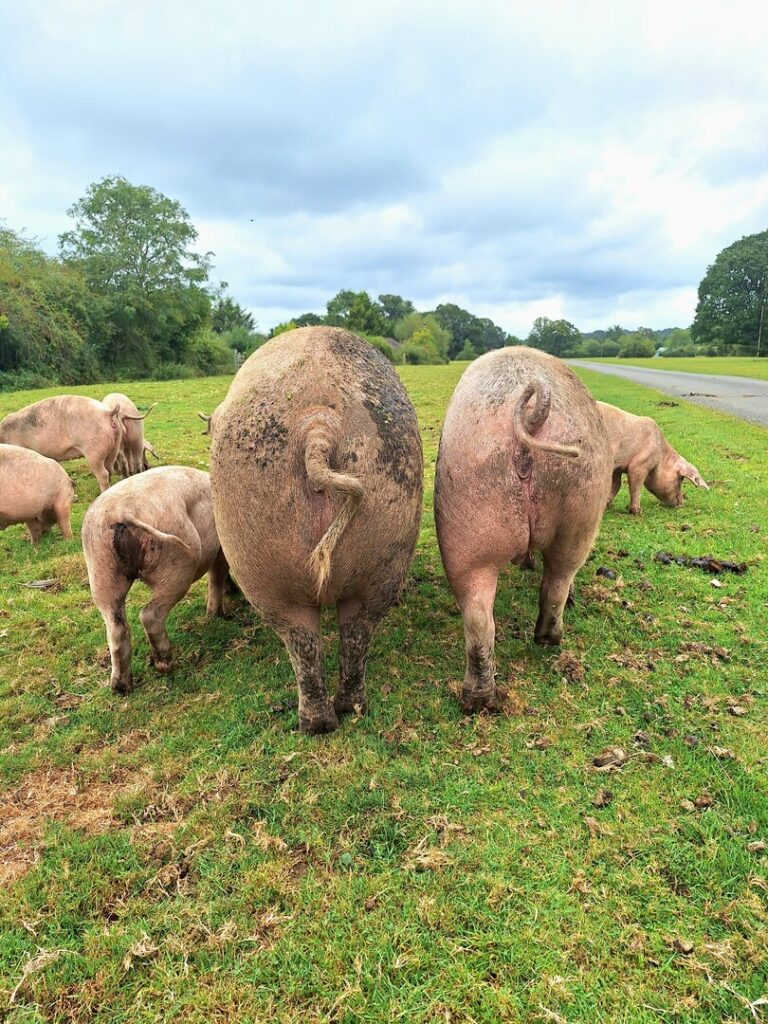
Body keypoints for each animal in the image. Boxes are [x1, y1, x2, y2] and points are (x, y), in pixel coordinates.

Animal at [81, 466, 229, 694]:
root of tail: (121, 512)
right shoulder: (220, 550)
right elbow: (217, 577)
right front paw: (217, 615)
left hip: (101, 570)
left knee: (116, 627)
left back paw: (121, 688)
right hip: (175, 567)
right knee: (149, 614)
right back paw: (165, 665)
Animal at [210, 326, 423, 734]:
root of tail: (318, 428)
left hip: (260, 569)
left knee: (302, 641)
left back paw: (315, 724)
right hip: (383, 555)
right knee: (351, 634)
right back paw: (341, 714)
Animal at [435, 347, 613, 713]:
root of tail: (532, 414)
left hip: (470, 520)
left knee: (482, 615)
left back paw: (482, 698)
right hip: (581, 514)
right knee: (557, 582)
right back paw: (546, 641)